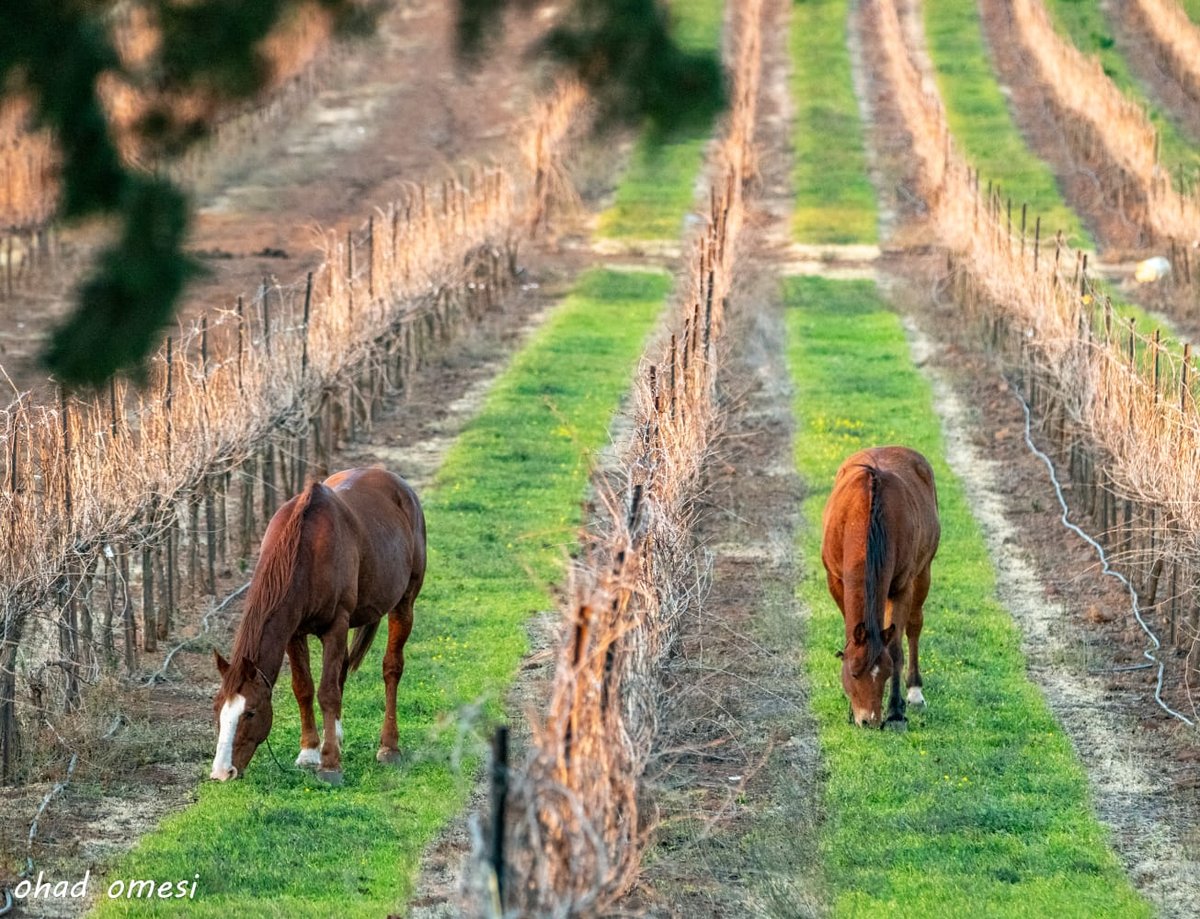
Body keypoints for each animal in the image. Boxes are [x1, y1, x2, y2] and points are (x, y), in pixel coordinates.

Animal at [211, 467, 427, 787]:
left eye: (250, 712)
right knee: (342, 672)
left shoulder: (335, 626)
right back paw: (334, 736)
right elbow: (304, 688)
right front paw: (310, 752)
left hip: (404, 602)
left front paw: (330, 765)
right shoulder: (293, 632)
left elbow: (327, 692)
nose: (222, 772)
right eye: (217, 709)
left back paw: (389, 746)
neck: (305, 551)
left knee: (391, 669)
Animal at [820, 451, 940, 729]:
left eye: (885, 673)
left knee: (914, 625)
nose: (869, 720)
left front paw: (896, 712)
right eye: (854, 672)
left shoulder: (901, 586)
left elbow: (895, 648)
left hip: (924, 570)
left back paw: (914, 691)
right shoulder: (836, 580)